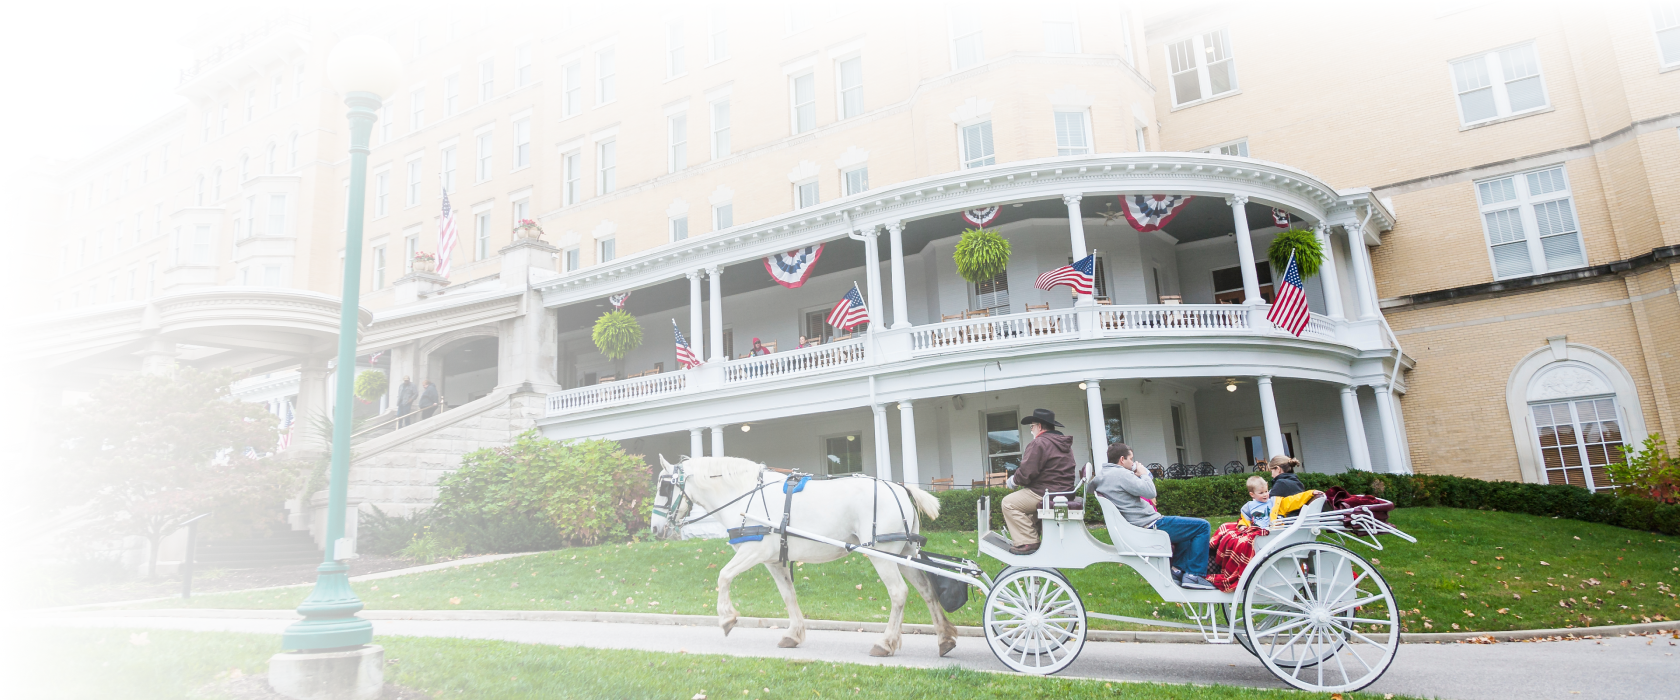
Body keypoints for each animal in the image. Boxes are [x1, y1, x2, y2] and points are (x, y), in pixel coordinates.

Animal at [648, 453, 954, 654]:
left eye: (664, 486)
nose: (654, 528)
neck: (745, 496)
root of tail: (899, 487)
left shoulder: (754, 551)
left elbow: (723, 576)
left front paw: (726, 618)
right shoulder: (774, 561)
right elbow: (788, 595)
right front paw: (793, 635)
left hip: (883, 555)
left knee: (899, 593)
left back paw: (886, 642)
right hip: (905, 553)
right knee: (927, 591)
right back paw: (944, 639)